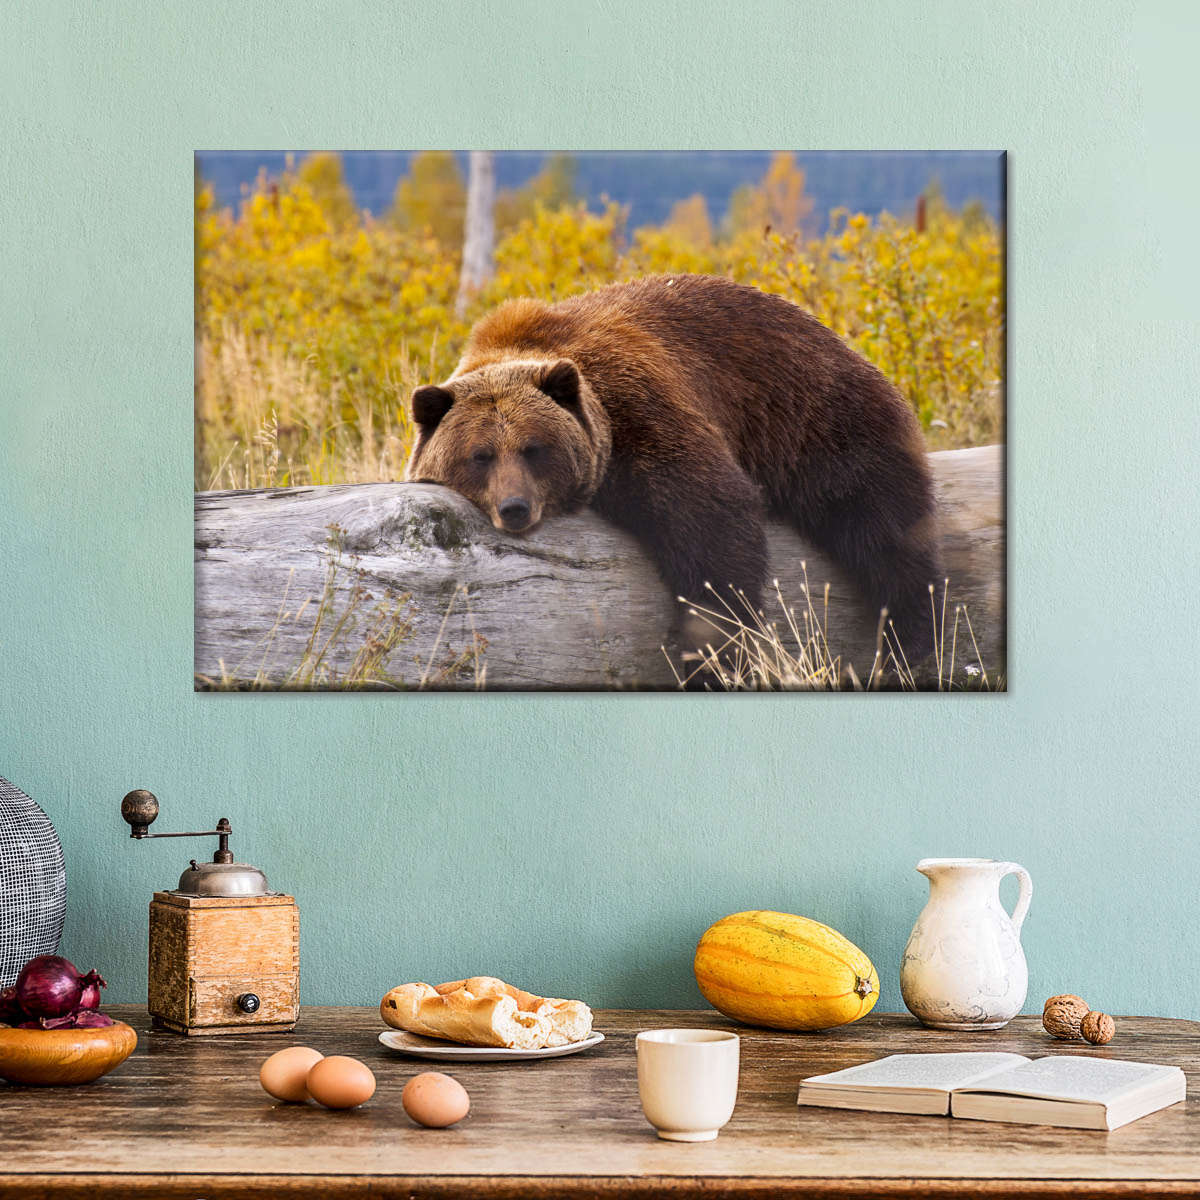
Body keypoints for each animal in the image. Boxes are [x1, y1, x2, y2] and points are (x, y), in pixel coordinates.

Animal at [404, 274, 941, 670]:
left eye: (534, 449)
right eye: (480, 455)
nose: (514, 507)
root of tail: (839, 339)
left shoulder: (640, 408)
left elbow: (711, 520)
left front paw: (707, 651)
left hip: (817, 419)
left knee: (881, 524)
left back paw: (909, 637)